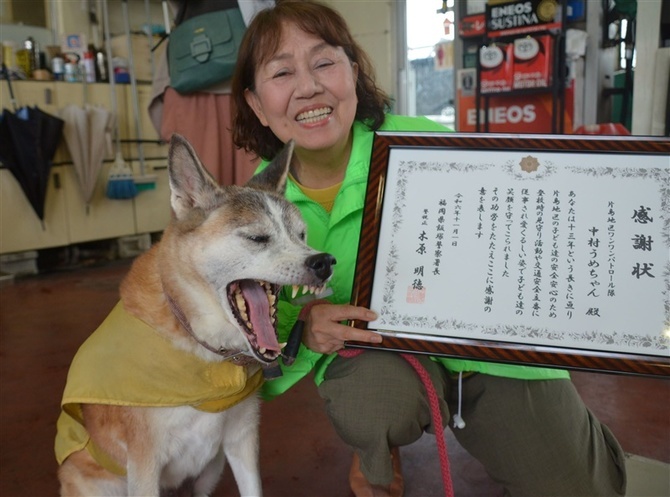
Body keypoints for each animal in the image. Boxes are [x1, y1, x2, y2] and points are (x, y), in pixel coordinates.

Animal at [53, 134, 336, 494]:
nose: (324, 262)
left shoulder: (242, 440)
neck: (200, 343)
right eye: (257, 237)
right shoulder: (144, 465)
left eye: (301, 235)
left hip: (211, 470)